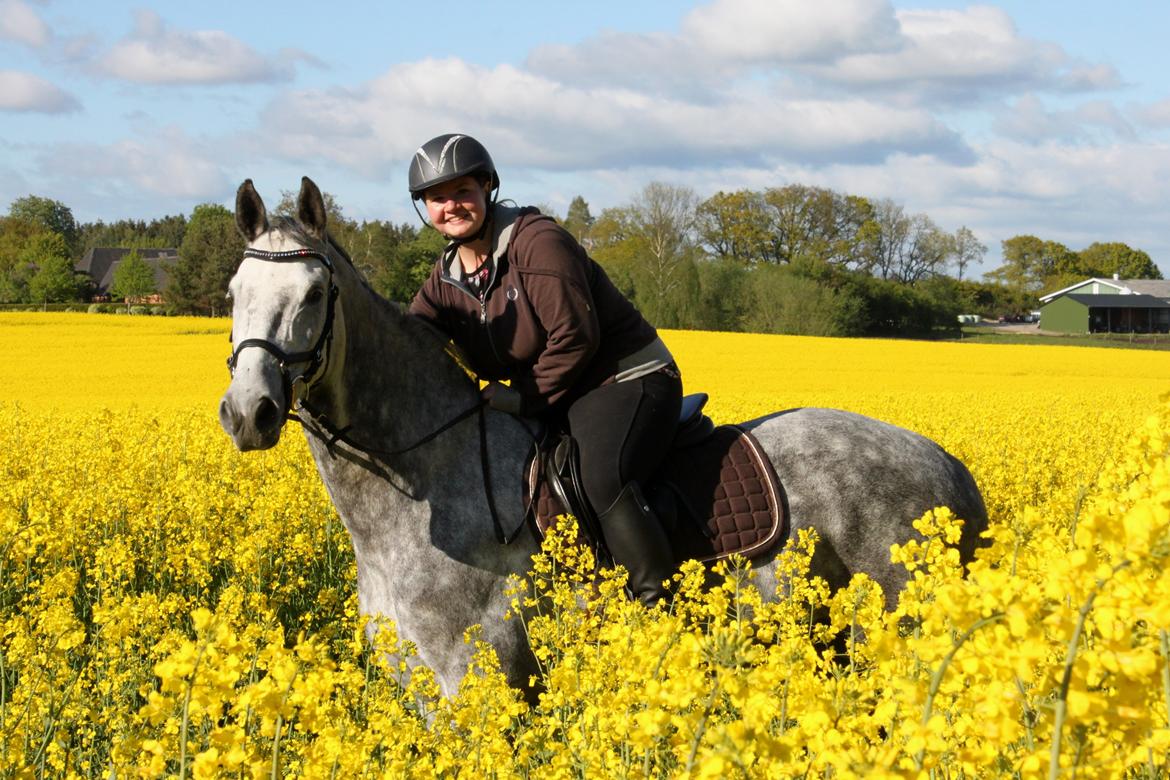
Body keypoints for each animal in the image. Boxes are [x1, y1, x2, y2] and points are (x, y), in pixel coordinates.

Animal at [219, 180, 987, 696]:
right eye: (232, 293)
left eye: (315, 294)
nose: (249, 411)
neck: (417, 491)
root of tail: (947, 463)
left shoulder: (470, 678)